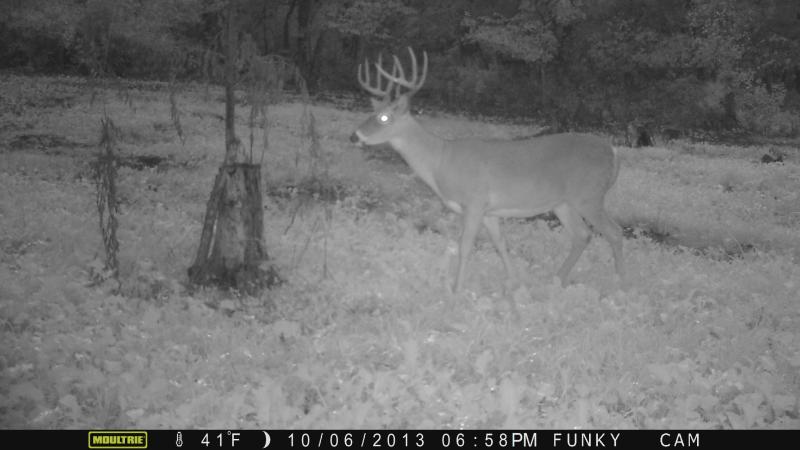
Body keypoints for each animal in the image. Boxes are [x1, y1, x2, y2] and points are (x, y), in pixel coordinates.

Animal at [350, 48, 624, 293]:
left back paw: (619, 285)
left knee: (615, 232)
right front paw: (513, 283)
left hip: (589, 195)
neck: (441, 160)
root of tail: (613, 151)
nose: (354, 136)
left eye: (384, 118)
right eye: (372, 112)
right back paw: (556, 280)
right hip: (563, 203)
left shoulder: (474, 201)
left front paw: (456, 290)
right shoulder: (490, 211)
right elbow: (500, 244)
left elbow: (465, 246)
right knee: (582, 235)